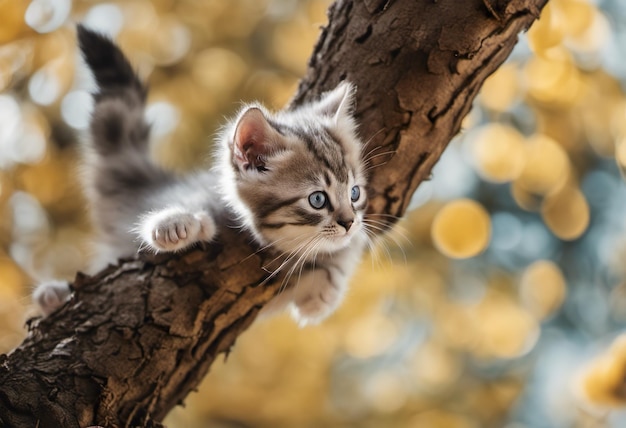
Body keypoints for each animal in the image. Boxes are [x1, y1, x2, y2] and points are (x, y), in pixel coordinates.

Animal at [34, 26, 366, 326]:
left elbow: (341, 260)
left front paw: (326, 286)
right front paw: (176, 224)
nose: (349, 222)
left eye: (354, 193)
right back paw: (53, 294)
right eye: (318, 199)